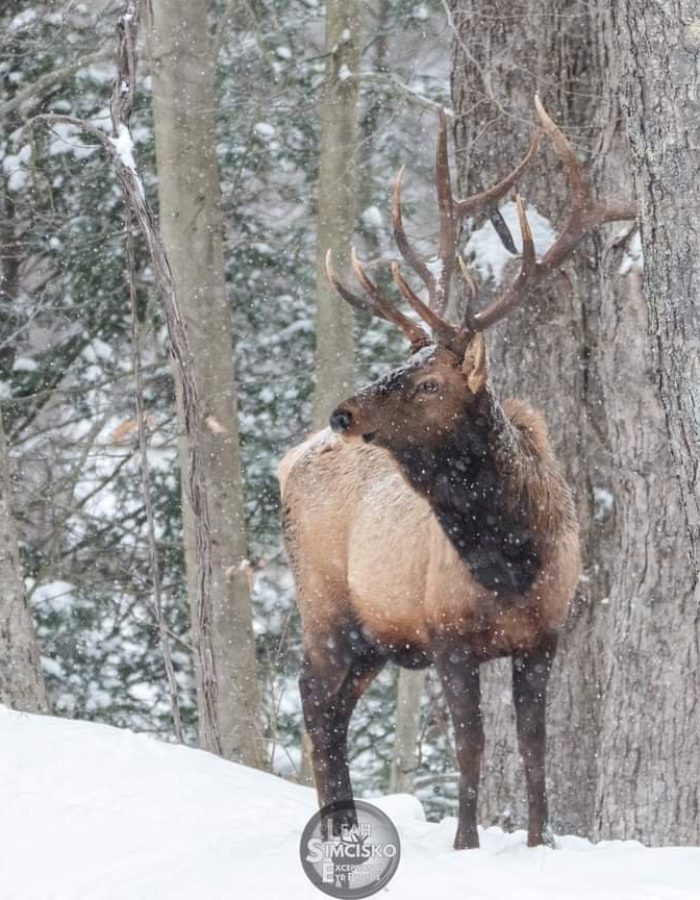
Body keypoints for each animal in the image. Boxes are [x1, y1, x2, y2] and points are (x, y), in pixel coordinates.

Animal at [278, 100, 636, 852]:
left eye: (428, 382)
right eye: (399, 363)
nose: (343, 412)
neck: (509, 562)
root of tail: (286, 461)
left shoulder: (545, 638)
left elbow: (533, 747)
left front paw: (539, 842)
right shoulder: (446, 636)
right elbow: (471, 747)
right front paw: (467, 844)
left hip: (372, 636)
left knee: (333, 706)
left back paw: (344, 826)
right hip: (325, 603)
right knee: (315, 701)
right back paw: (336, 832)